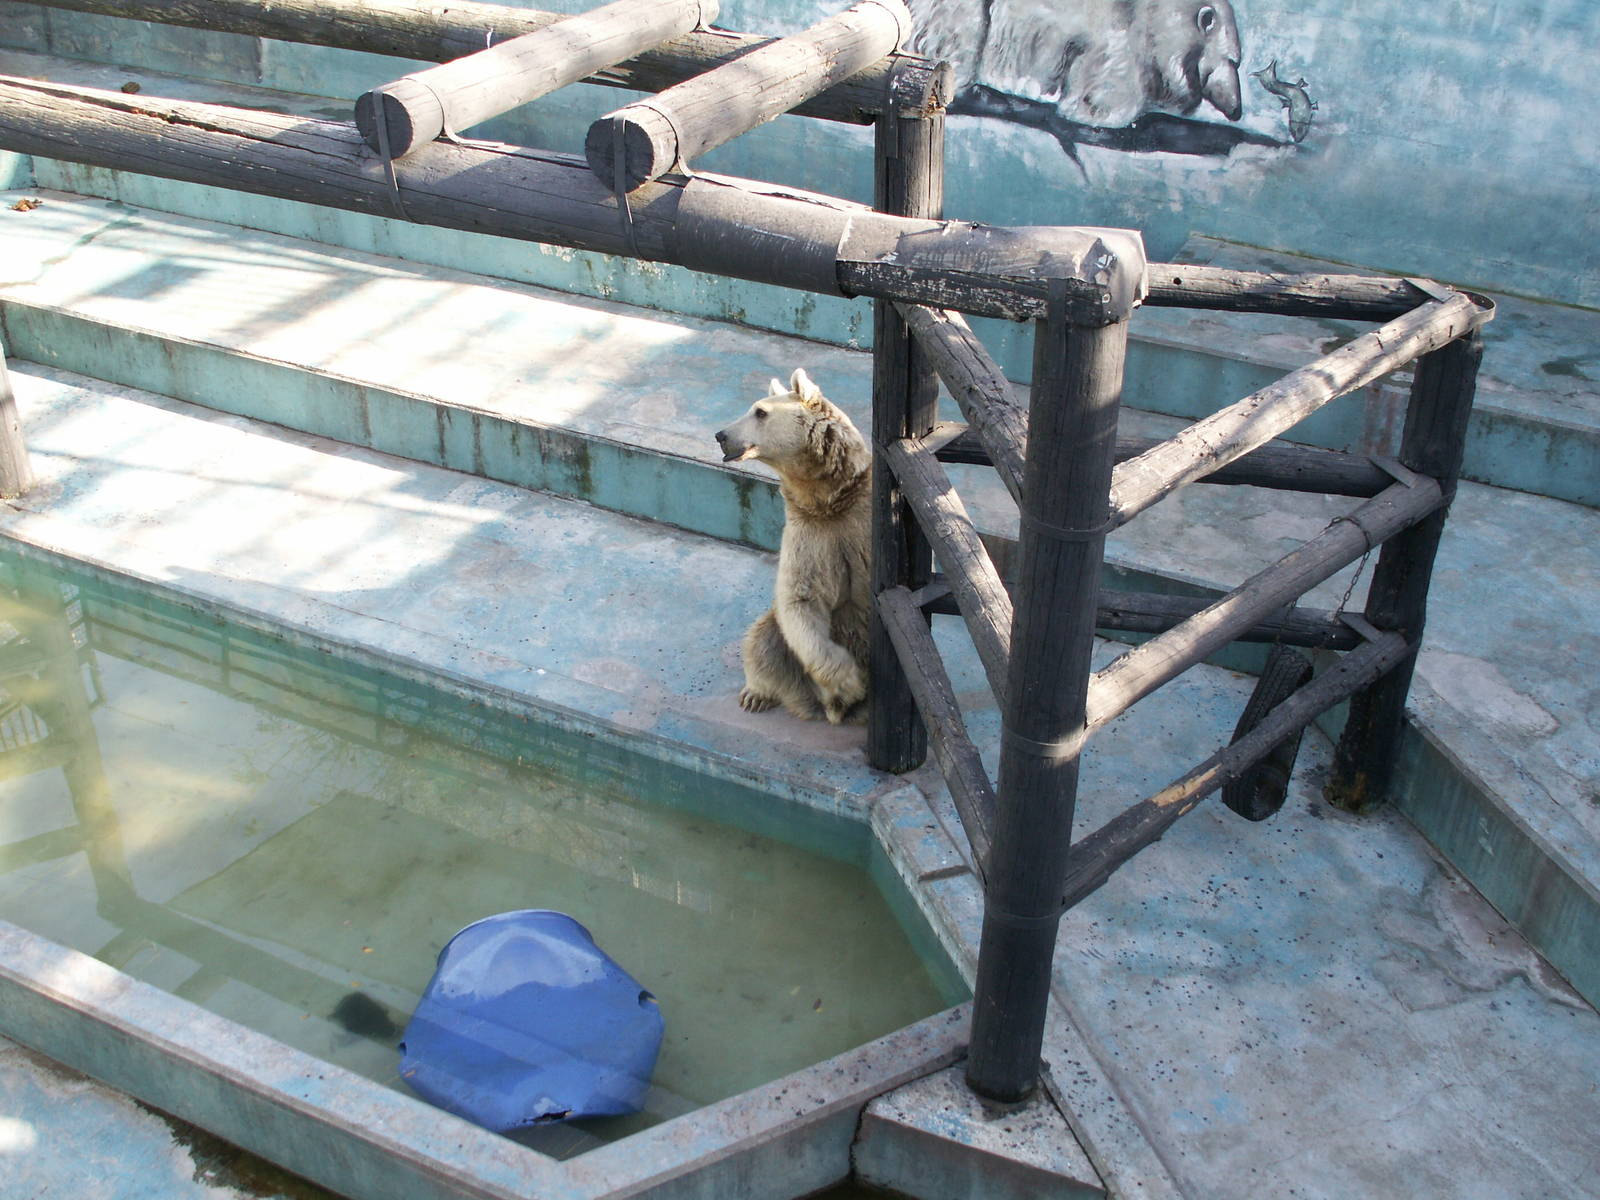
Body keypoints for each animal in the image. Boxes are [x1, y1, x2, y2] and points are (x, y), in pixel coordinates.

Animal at [714, 369, 872, 725]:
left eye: (759, 412)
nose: (721, 435)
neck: (830, 498)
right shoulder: (808, 533)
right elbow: (800, 600)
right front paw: (848, 683)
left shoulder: (859, 522)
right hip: (777, 639)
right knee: (761, 643)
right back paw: (758, 694)